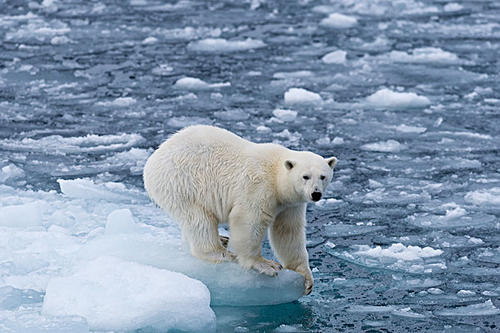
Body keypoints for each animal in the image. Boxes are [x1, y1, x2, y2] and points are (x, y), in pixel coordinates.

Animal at [146, 125, 340, 294]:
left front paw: (306, 277)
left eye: (323, 176)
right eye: (305, 176)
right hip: (183, 183)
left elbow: (288, 232)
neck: (276, 175)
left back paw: (222, 239)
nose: (316, 194)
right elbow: (249, 220)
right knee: (199, 219)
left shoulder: (290, 204)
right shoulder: (259, 186)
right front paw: (266, 264)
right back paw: (221, 252)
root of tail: (153, 160)